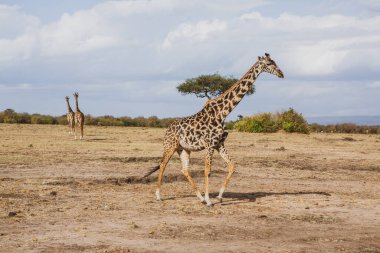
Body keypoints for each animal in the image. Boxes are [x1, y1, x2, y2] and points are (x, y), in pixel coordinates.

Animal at [144, 52, 284, 207]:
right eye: (269, 63)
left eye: (274, 62)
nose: (281, 74)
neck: (222, 113)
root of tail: (167, 129)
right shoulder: (210, 144)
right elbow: (208, 171)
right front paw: (209, 200)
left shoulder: (219, 144)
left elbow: (232, 166)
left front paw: (219, 197)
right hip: (170, 146)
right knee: (163, 164)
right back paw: (159, 196)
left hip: (184, 148)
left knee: (184, 169)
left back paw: (199, 197)